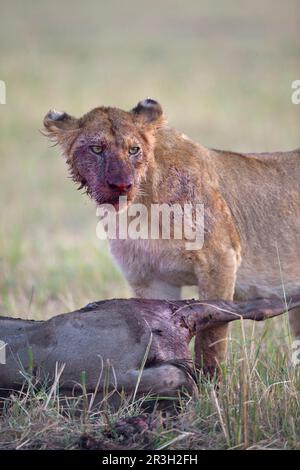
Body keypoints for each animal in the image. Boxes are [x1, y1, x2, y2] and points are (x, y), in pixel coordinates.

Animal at [44, 99, 300, 374]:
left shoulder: (220, 259)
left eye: (134, 150)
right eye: (96, 149)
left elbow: (211, 336)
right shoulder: (150, 278)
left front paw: (209, 383)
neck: (140, 210)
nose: (122, 185)